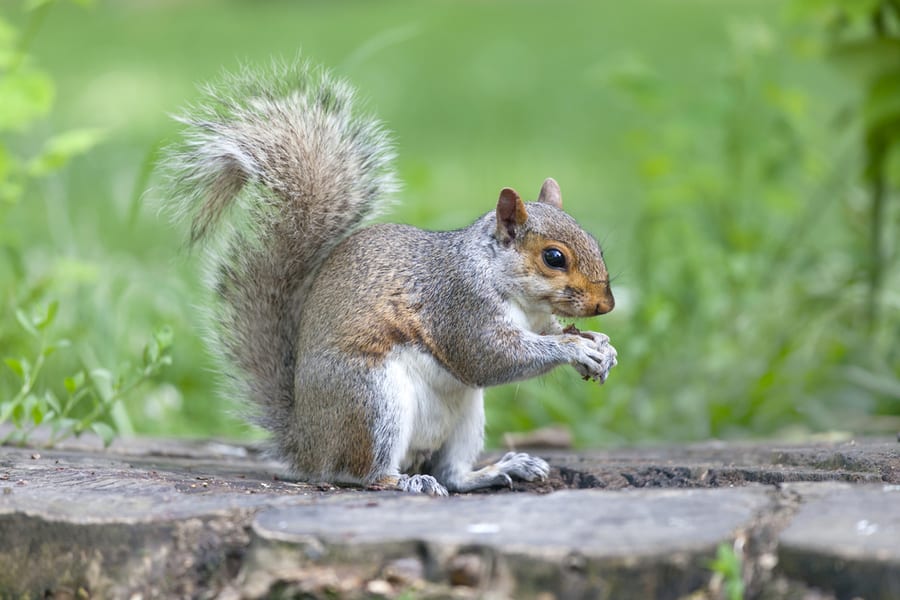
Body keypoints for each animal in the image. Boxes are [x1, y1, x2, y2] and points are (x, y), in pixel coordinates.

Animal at [163, 61, 620, 494]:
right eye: (554, 257)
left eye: (594, 244)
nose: (606, 305)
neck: (515, 292)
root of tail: (307, 446)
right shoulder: (460, 305)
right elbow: (490, 357)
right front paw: (574, 348)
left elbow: (548, 334)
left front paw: (601, 345)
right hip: (372, 401)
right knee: (362, 474)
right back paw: (405, 481)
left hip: (465, 417)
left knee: (453, 474)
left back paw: (498, 469)